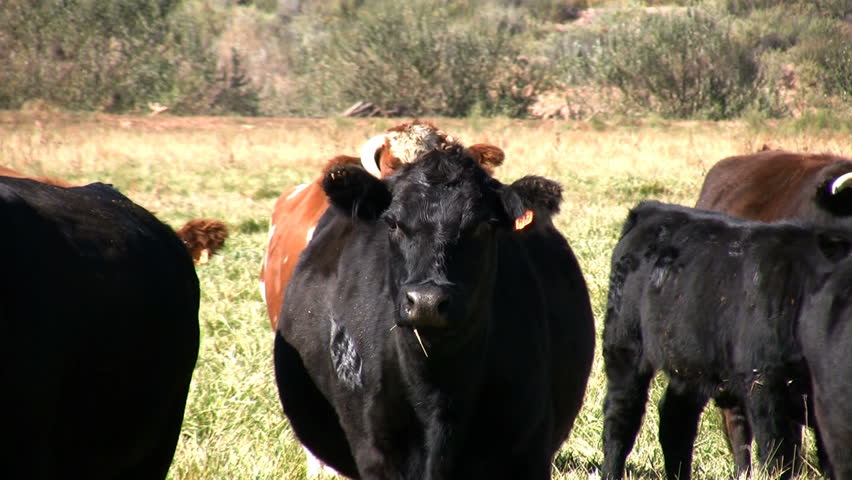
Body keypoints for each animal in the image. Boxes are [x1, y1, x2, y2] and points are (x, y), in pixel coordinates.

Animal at [601, 200, 852, 480]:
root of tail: (649, 209)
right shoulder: (766, 387)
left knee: (676, 420)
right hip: (624, 345)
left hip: (690, 363)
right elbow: (778, 457)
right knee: (621, 416)